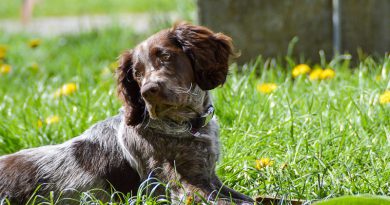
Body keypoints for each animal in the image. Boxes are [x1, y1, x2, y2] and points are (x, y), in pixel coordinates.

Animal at [0, 22, 254, 203]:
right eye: (137, 73)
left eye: (166, 56)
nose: (148, 91)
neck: (186, 125)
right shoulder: (184, 188)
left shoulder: (210, 179)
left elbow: (250, 198)